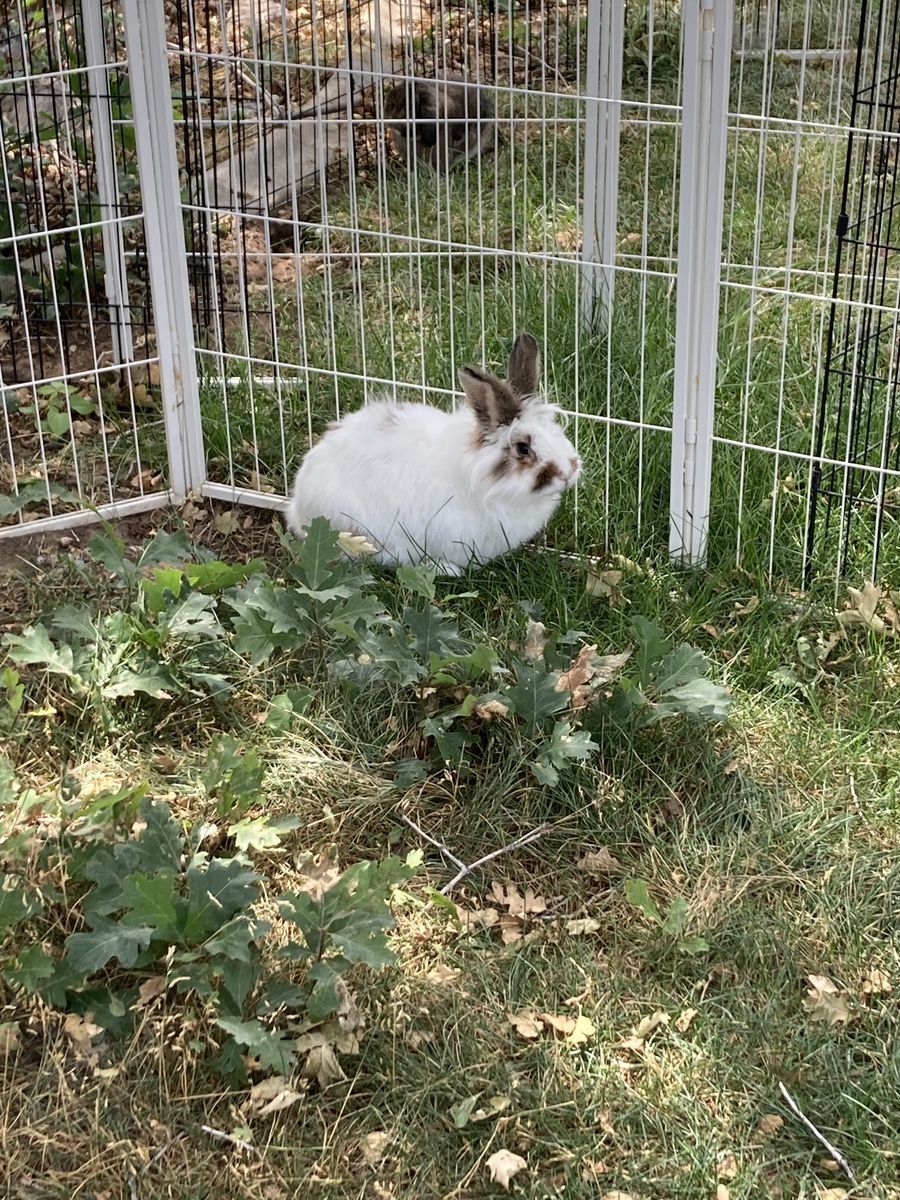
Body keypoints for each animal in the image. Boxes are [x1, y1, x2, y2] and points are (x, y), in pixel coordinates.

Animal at [286, 333, 581, 576]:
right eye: (522, 448)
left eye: (556, 430)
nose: (568, 473)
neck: (483, 483)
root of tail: (298, 506)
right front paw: (446, 570)